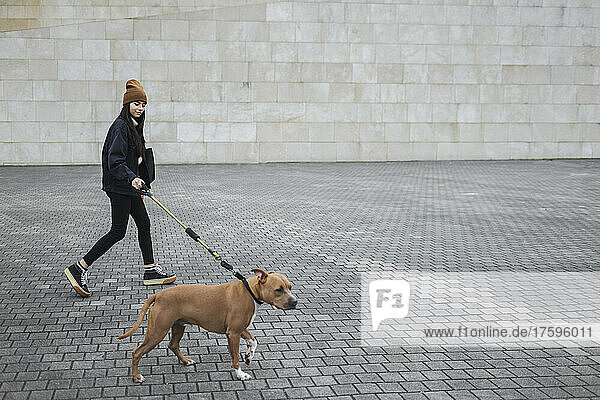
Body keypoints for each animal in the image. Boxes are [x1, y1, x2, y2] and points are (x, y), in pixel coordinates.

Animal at [116, 268, 296, 382]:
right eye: (278, 289)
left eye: (290, 287)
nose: (295, 302)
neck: (250, 290)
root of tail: (159, 294)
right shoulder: (233, 333)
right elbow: (235, 358)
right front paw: (240, 374)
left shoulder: (239, 329)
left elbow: (254, 341)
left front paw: (248, 356)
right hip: (157, 332)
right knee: (137, 352)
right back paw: (136, 377)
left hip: (178, 326)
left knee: (173, 344)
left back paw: (186, 361)